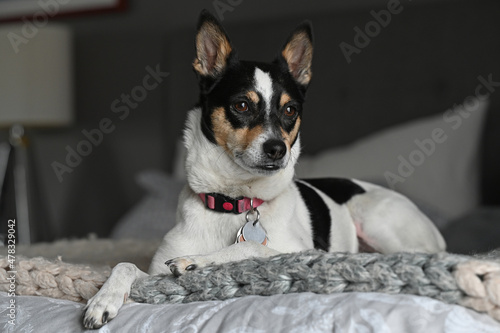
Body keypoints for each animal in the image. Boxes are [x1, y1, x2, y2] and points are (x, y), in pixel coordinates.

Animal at [82, 9, 446, 326]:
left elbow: (250, 247)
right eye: (242, 105)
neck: (234, 201)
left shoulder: (301, 252)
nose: (277, 149)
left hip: (378, 220)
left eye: (290, 110)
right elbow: (124, 265)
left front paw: (197, 262)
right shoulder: (154, 272)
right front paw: (102, 300)